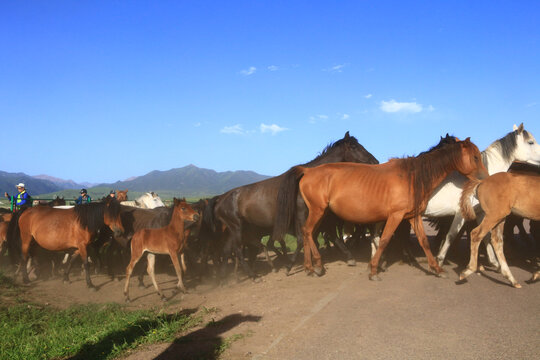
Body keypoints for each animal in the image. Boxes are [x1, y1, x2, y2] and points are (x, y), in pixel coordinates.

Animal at [284, 138, 488, 278]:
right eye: (475, 157)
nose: (485, 179)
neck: (412, 177)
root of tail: (308, 170)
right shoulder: (395, 216)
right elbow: (384, 240)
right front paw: (374, 269)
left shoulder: (413, 216)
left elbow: (423, 241)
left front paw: (437, 269)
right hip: (318, 211)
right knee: (308, 232)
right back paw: (316, 266)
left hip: (321, 213)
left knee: (309, 233)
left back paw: (311, 267)